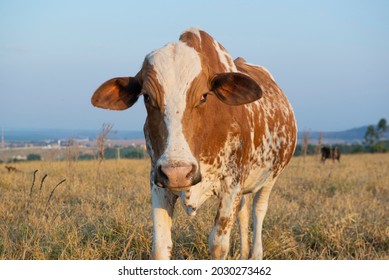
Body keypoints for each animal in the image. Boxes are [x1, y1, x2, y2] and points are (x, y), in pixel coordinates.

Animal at [91, 29, 298, 260]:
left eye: (204, 96)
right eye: (147, 97)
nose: (178, 173)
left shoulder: (232, 184)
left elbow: (218, 245)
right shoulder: (158, 182)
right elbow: (160, 247)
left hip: (271, 176)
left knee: (258, 210)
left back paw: (255, 254)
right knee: (244, 211)